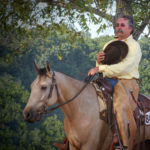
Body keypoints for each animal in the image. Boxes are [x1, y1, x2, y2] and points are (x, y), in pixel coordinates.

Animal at [22, 61, 150, 150]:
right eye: (32, 86)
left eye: (44, 87)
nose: (27, 114)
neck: (80, 109)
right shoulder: (73, 146)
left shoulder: (89, 145)